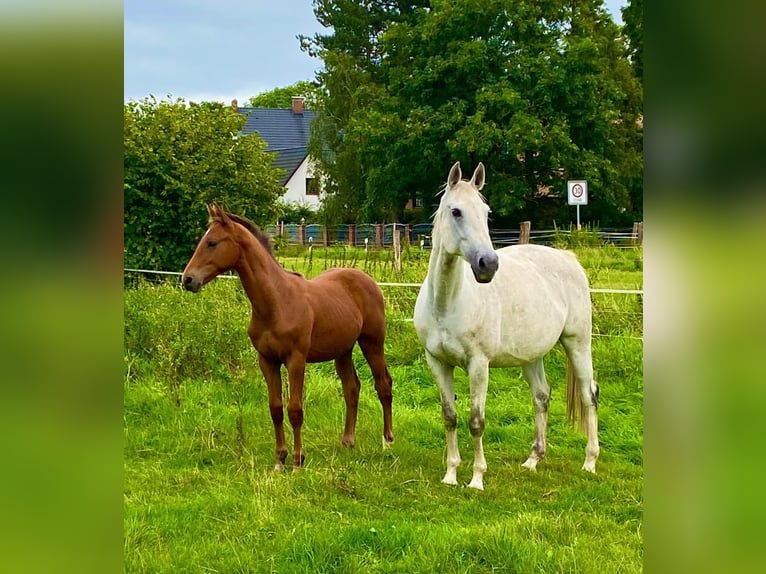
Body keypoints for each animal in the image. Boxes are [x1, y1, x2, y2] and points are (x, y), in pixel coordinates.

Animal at [182, 205, 392, 470]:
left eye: (212, 242)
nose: (188, 280)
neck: (277, 302)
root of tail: (369, 281)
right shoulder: (267, 361)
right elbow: (276, 409)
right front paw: (279, 460)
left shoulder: (296, 360)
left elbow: (295, 410)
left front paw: (297, 461)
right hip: (342, 351)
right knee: (352, 388)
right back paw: (348, 441)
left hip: (372, 342)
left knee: (383, 384)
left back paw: (387, 441)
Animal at [414, 161, 600, 490]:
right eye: (456, 211)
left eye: (486, 212)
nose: (488, 264)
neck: (447, 303)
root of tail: (569, 258)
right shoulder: (436, 362)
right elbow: (449, 416)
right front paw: (450, 474)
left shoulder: (478, 364)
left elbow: (476, 421)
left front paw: (476, 479)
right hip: (532, 356)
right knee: (541, 397)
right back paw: (533, 460)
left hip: (578, 343)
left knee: (588, 395)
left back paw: (589, 462)